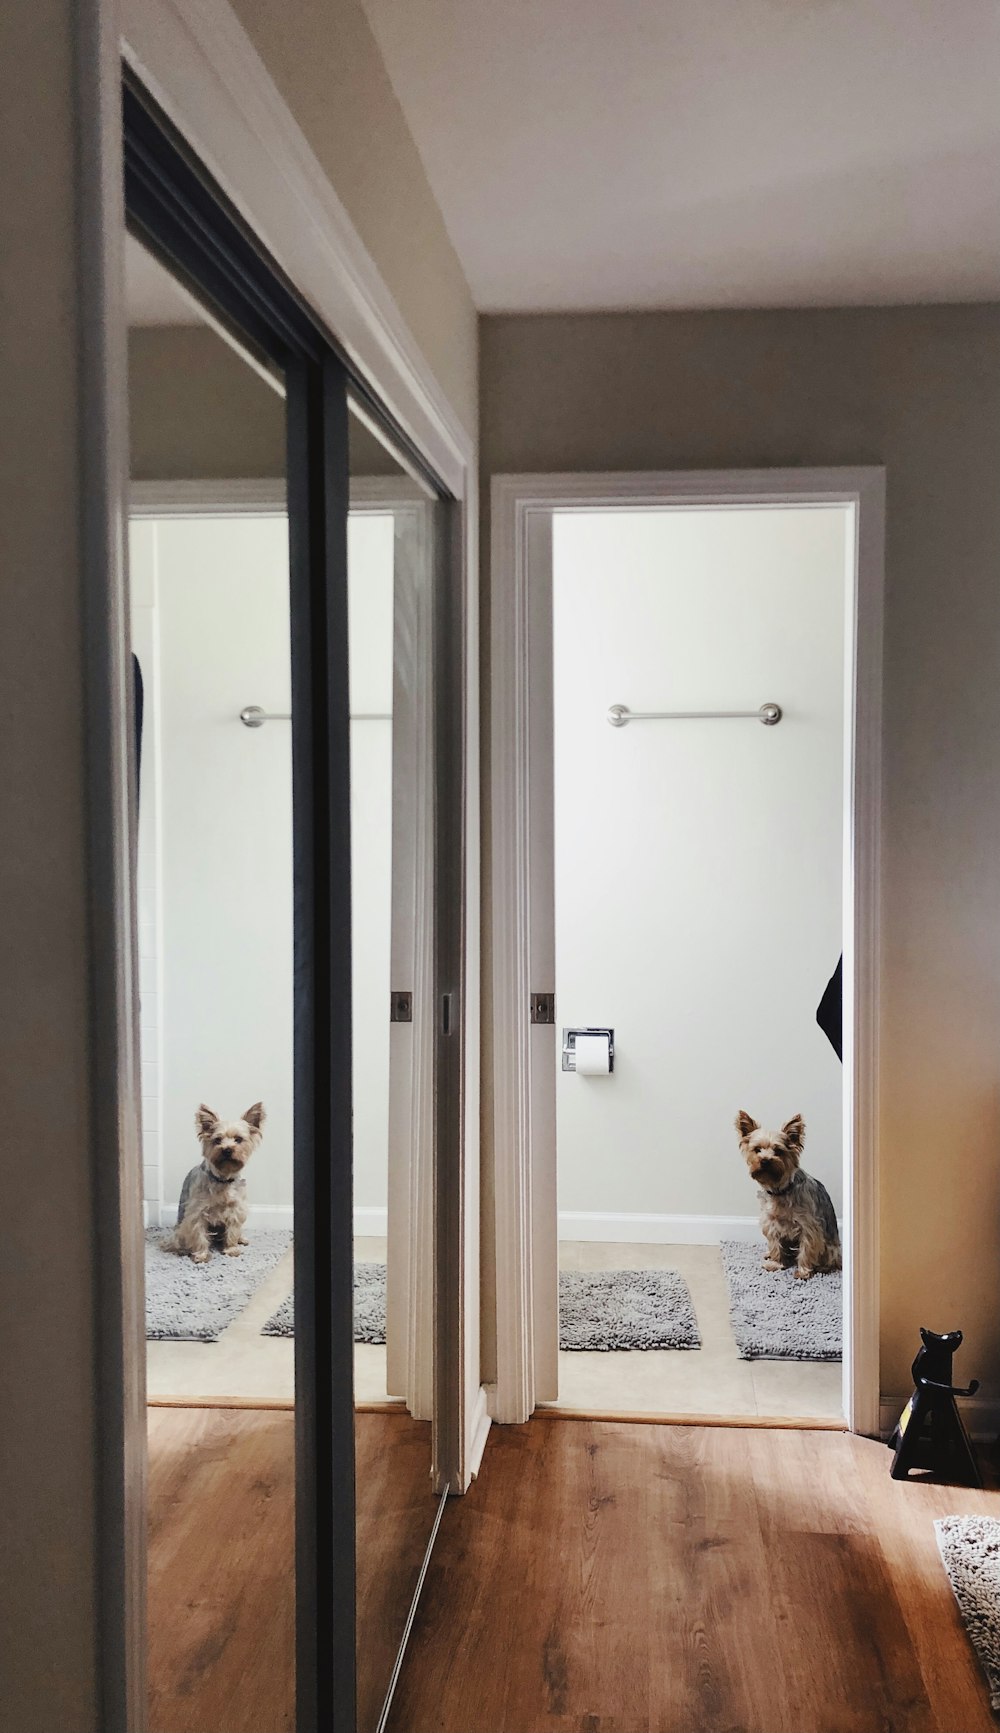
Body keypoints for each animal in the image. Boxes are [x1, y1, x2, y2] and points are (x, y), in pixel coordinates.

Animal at [169, 1102, 266, 1268]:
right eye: (217, 1140)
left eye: (238, 1139)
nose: (227, 1150)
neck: (223, 1178)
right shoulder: (197, 1212)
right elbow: (199, 1235)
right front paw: (201, 1255)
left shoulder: (235, 1209)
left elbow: (232, 1231)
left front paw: (231, 1249)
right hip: (180, 1230)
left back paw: (241, 1239)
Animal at [727, 1109, 838, 1275]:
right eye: (757, 1150)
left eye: (778, 1151)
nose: (765, 1160)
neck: (780, 1190)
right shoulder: (771, 1222)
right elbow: (775, 1245)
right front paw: (776, 1264)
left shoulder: (809, 1225)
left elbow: (807, 1248)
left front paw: (803, 1272)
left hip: (831, 1249)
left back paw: (822, 1267)